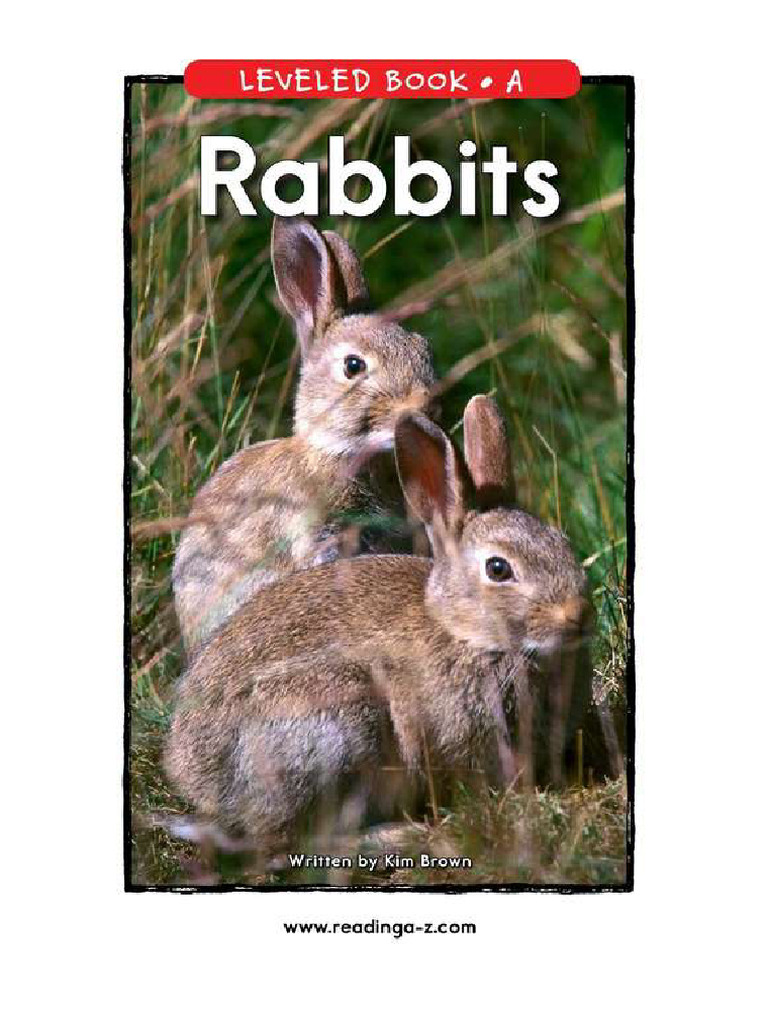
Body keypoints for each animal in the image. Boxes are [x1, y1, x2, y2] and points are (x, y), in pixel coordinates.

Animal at [164, 395, 594, 855]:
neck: (464, 632)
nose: (578, 614)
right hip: (338, 723)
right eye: (498, 569)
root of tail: (195, 779)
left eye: (563, 543)